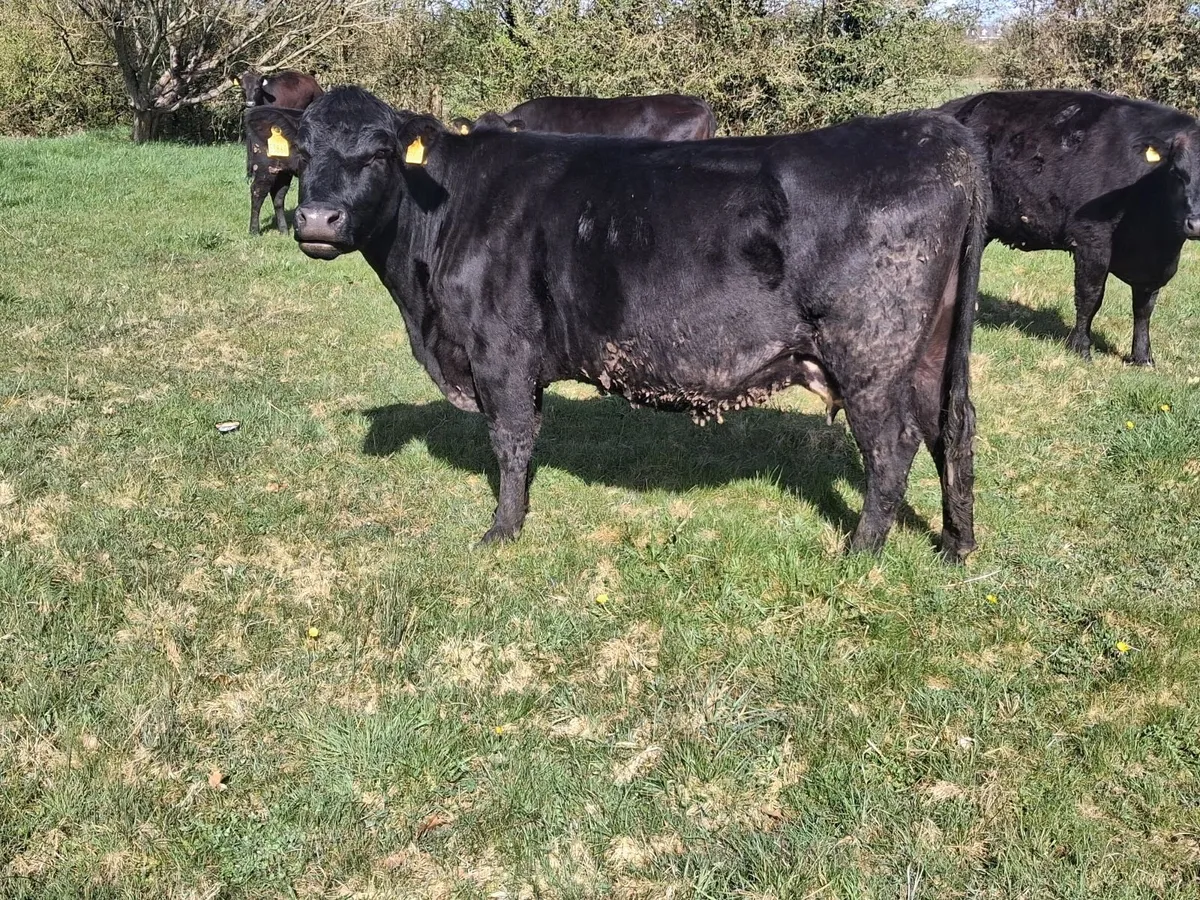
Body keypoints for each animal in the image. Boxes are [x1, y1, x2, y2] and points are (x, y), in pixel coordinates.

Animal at [276, 86, 988, 560]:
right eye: (302, 151)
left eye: (380, 153)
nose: (315, 220)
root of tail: (939, 136)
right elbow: (527, 436)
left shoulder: (498, 348)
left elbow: (508, 436)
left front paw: (502, 530)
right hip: (932, 349)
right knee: (950, 427)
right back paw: (956, 544)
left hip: (870, 353)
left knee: (893, 444)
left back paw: (860, 551)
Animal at [941, 89, 1200, 366]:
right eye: (1176, 172)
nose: (1195, 224)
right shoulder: (1091, 237)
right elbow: (1090, 296)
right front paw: (1081, 348)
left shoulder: (1155, 265)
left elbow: (1144, 306)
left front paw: (1142, 356)